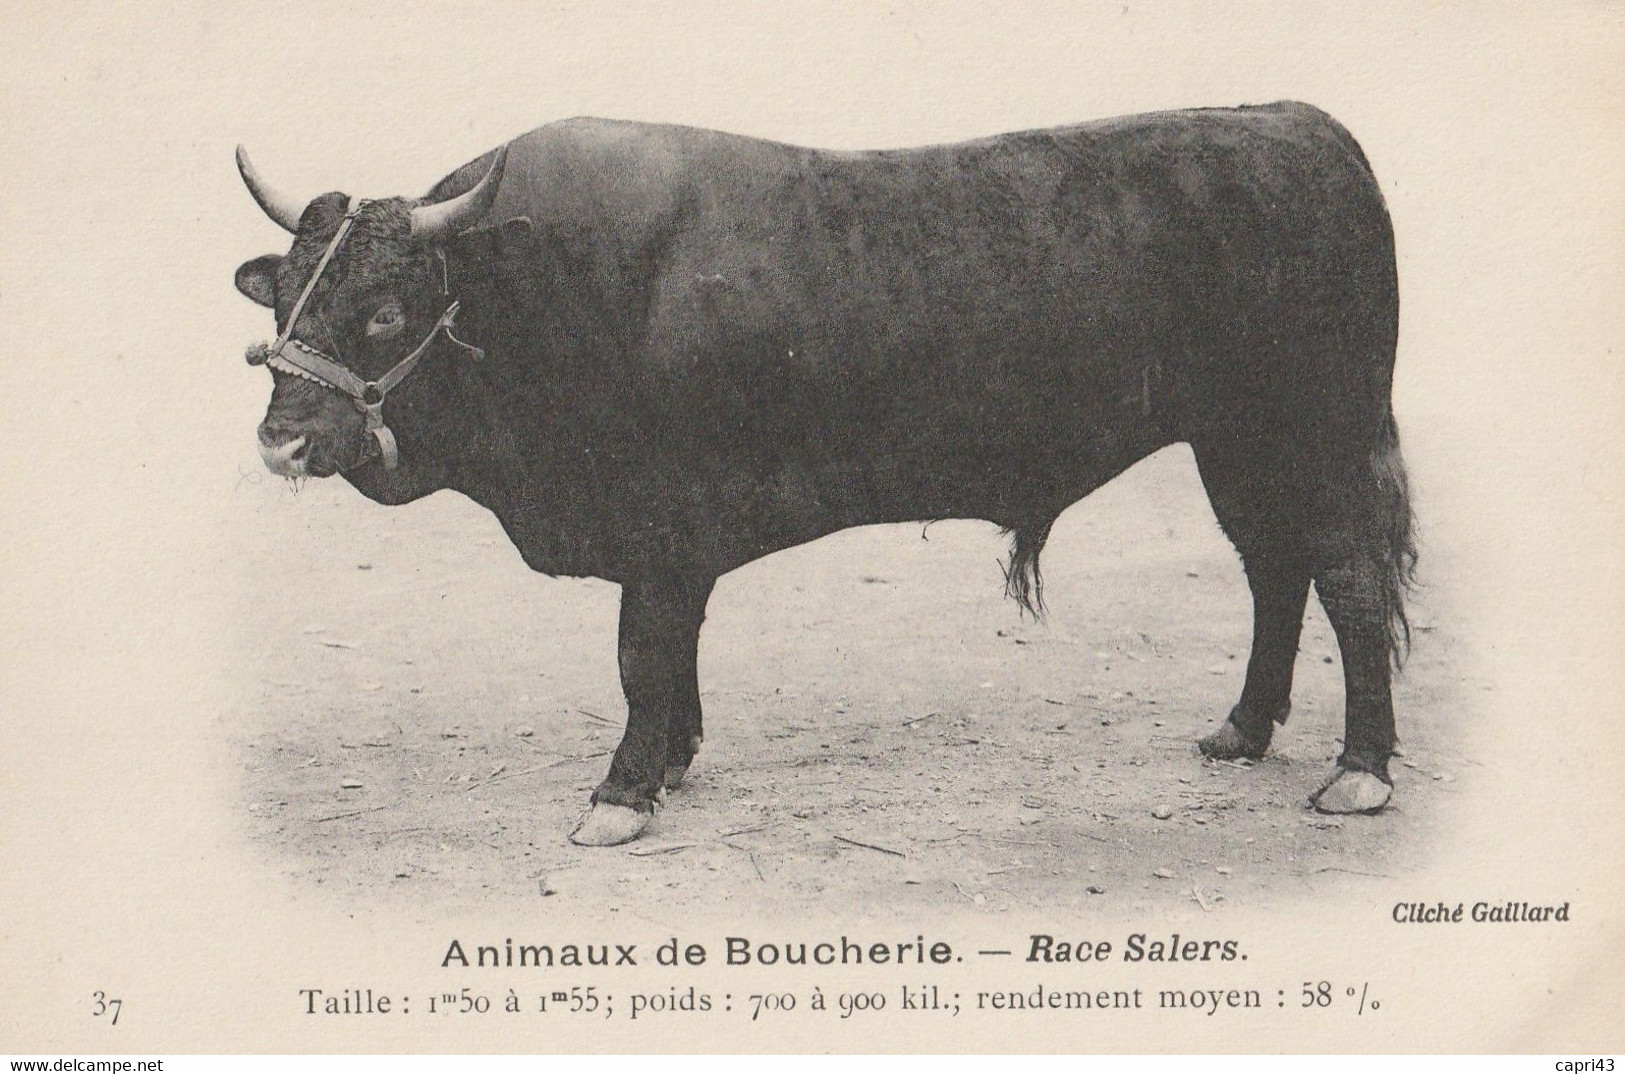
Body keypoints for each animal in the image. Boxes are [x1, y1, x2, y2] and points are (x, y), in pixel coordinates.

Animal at [235, 102, 1417, 844]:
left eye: (386, 310)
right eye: (286, 294)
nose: (281, 441)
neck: (552, 286)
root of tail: (1295, 124)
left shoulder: (656, 528)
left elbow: (638, 654)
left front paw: (621, 792)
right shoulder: (674, 543)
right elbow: (672, 653)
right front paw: (673, 759)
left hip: (1318, 432)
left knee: (1349, 582)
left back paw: (1356, 772)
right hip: (1236, 443)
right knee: (1274, 572)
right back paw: (1241, 730)